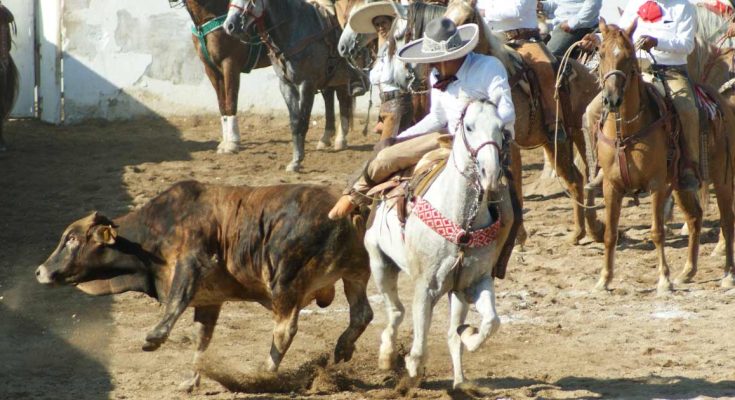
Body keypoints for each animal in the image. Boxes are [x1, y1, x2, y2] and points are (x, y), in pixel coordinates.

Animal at [34, 180, 374, 390]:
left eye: (72, 239)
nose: (40, 271)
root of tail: (348, 207)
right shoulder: (209, 300)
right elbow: (202, 338)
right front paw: (191, 379)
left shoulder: (190, 264)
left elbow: (175, 302)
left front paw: (154, 338)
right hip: (355, 273)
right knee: (362, 314)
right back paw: (342, 348)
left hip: (285, 281)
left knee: (284, 329)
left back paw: (264, 373)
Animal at [224, 0, 360, 171]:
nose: (229, 26)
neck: (293, 30)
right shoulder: (286, 85)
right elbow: (295, 122)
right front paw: (295, 160)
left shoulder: (306, 85)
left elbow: (303, 121)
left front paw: (297, 160)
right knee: (332, 98)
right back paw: (327, 138)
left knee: (342, 99)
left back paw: (341, 139)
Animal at [366, 98, 516, 390]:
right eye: (469, 127)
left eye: (501, 129)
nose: (491, 174)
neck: (463, 222)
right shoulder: (426, 286)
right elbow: (420, 342)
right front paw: (412, 368)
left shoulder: (475, 282)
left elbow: (490, 322)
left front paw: (469, 333)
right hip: (379, 262)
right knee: (396, 310)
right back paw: (387, 356)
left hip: (456, 293)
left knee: (450, 334)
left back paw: (460, 382)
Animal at [446, 0, 608, 245]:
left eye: (467, 19)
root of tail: (590, 74)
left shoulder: (509, 143)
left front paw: (519, 236)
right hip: (554, 142)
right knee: (575, 178)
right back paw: (579, 232)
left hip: (582, 133)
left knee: (589, 172)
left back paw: (595, 228)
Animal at [592, 18, 735, 292]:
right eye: (601, 53)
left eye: (628, 56)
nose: (611, 99)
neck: (626, 132)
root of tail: (721, 102)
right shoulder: (610, 185)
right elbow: (610, 233)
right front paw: (604, 279)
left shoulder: (656, 184)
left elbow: (657, 231)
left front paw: (664, 279)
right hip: (680, 184)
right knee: (695, 217)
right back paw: (688, 272)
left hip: (722, 177)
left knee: (726, 219)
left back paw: (728, 274)